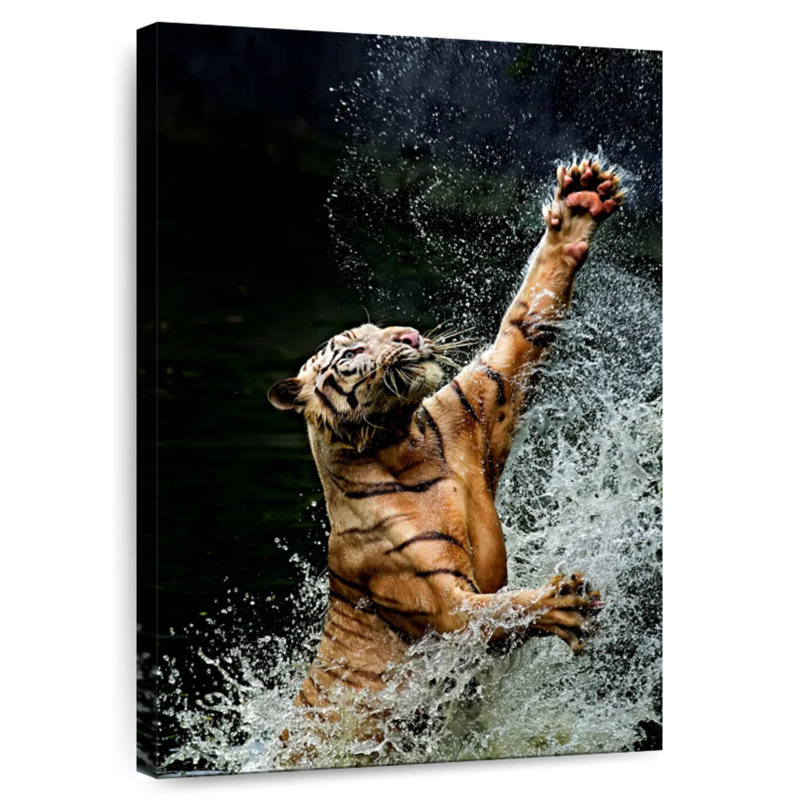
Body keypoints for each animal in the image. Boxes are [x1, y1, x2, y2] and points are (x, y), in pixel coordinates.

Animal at [268, 156, 623, 740]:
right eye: (351, 351)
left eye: (379, 328)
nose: (409, 336)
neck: (402, 440)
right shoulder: (442, 604)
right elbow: (495, 611)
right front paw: (561, 603)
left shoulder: (482, 397)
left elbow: (525, 319)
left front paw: (579, 204)